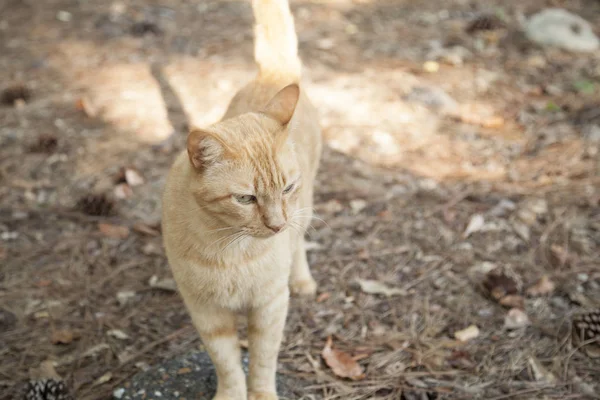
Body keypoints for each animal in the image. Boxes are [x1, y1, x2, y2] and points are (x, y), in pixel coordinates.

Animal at [159, 1, 318, 398]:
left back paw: (302, 279)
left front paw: (261, 394)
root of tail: (272, 75)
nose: (276, 225)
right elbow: (227, 362)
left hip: (304, 211)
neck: (231, 250)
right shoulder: (206, 312)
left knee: (300, 241)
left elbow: (262, 360)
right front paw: (231, 393)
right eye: (246, 199)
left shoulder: (270, 306)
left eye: (286, 189)